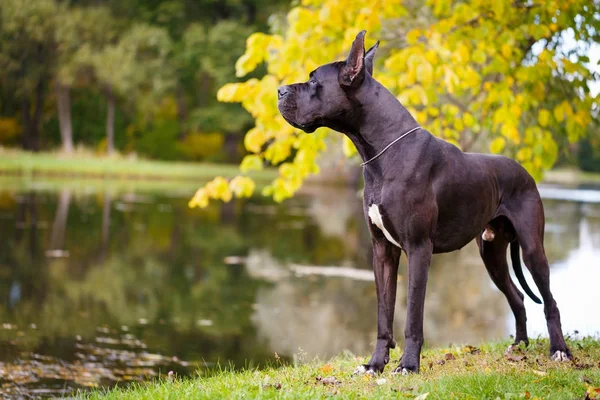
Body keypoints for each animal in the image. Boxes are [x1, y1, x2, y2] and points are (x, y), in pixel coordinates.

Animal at [276, 29, 572, 374]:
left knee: (550, 300)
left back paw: (559, 350)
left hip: (532, 248)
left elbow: (413, 316)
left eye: (313, 81)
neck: (383, 153)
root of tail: (524, 172)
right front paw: (375, 364)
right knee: (517, 297)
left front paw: (408, 365)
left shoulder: (418, 248)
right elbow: (383, 315)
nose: (279, 90)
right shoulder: (382, 251)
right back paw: (519, 345)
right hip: (492, 255)